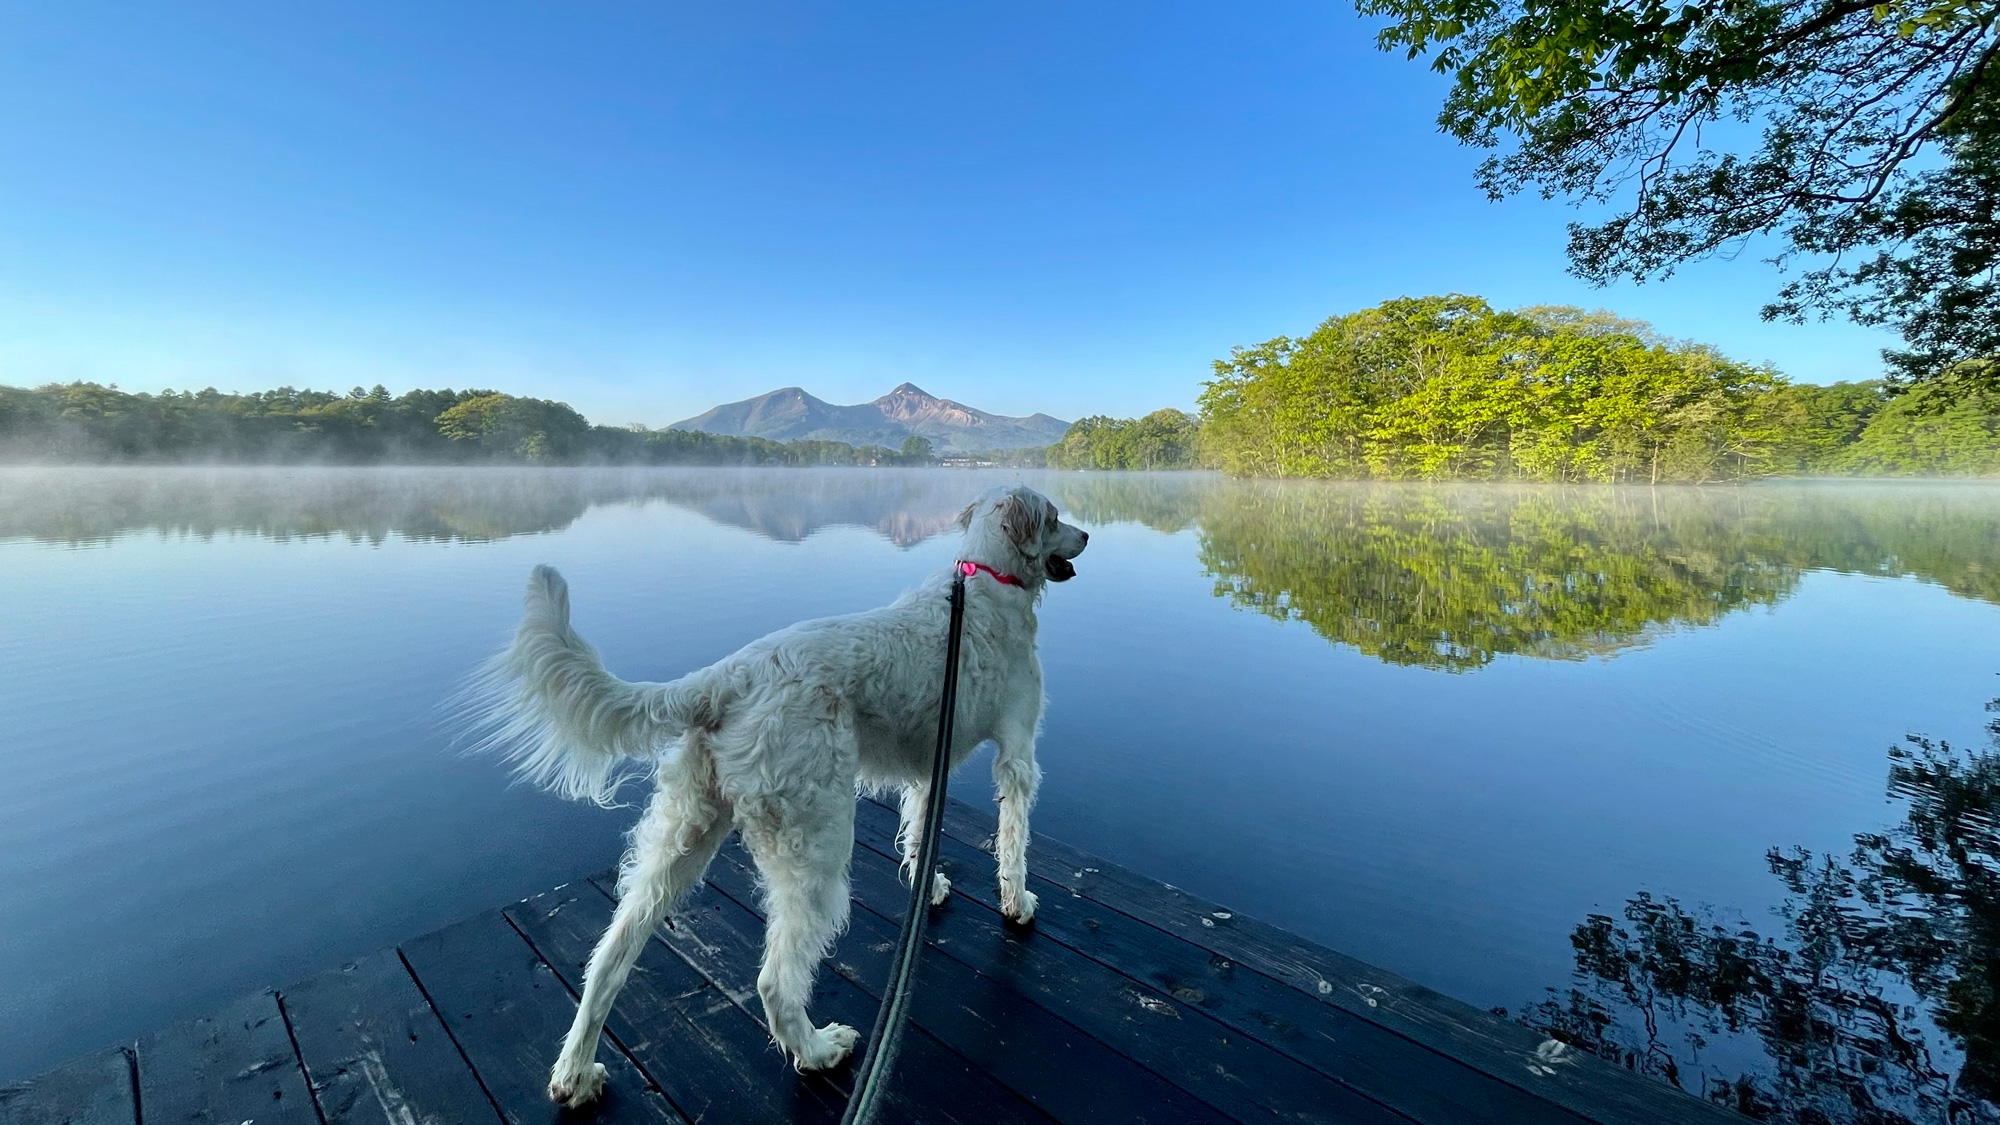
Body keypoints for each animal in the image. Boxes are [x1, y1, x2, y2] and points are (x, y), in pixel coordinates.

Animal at [458, 482, 1088, 1104]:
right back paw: (819, 1050)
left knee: (608, 959)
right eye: (1056, 517)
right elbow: (1013, 844)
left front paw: (927, 886)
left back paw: (575, 1075)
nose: (1086, 535)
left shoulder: (930, 763)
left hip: (681, 839)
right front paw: (1018, 905)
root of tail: (726, 678)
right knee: (775, 982)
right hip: (816, 850)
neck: (987, 582)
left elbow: (921, 833)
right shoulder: (1017, 754)